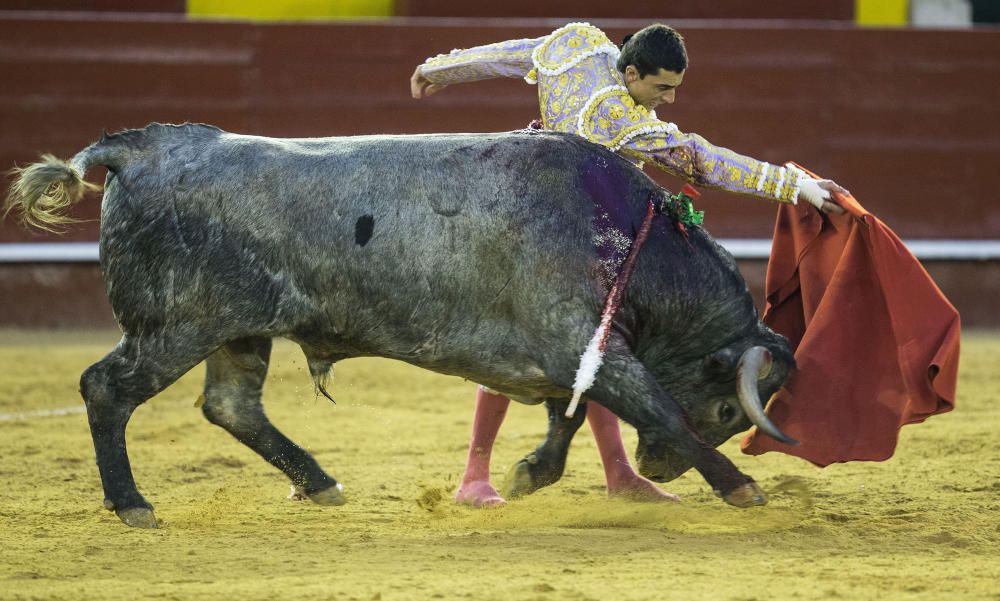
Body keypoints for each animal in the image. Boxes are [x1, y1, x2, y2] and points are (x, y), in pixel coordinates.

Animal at [1, 124, 796, 528]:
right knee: (107, 388)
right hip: (176, 325)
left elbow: (570, 416)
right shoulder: (589, 345)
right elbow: (657, 407)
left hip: (236, 329)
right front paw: (738, 485)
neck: (629, 235)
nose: (658, 468)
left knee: (230, 404)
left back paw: (320, 482)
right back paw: (133, 503)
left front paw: (530, 473)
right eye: (730, 410)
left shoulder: (574, 355)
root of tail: (141, 146)